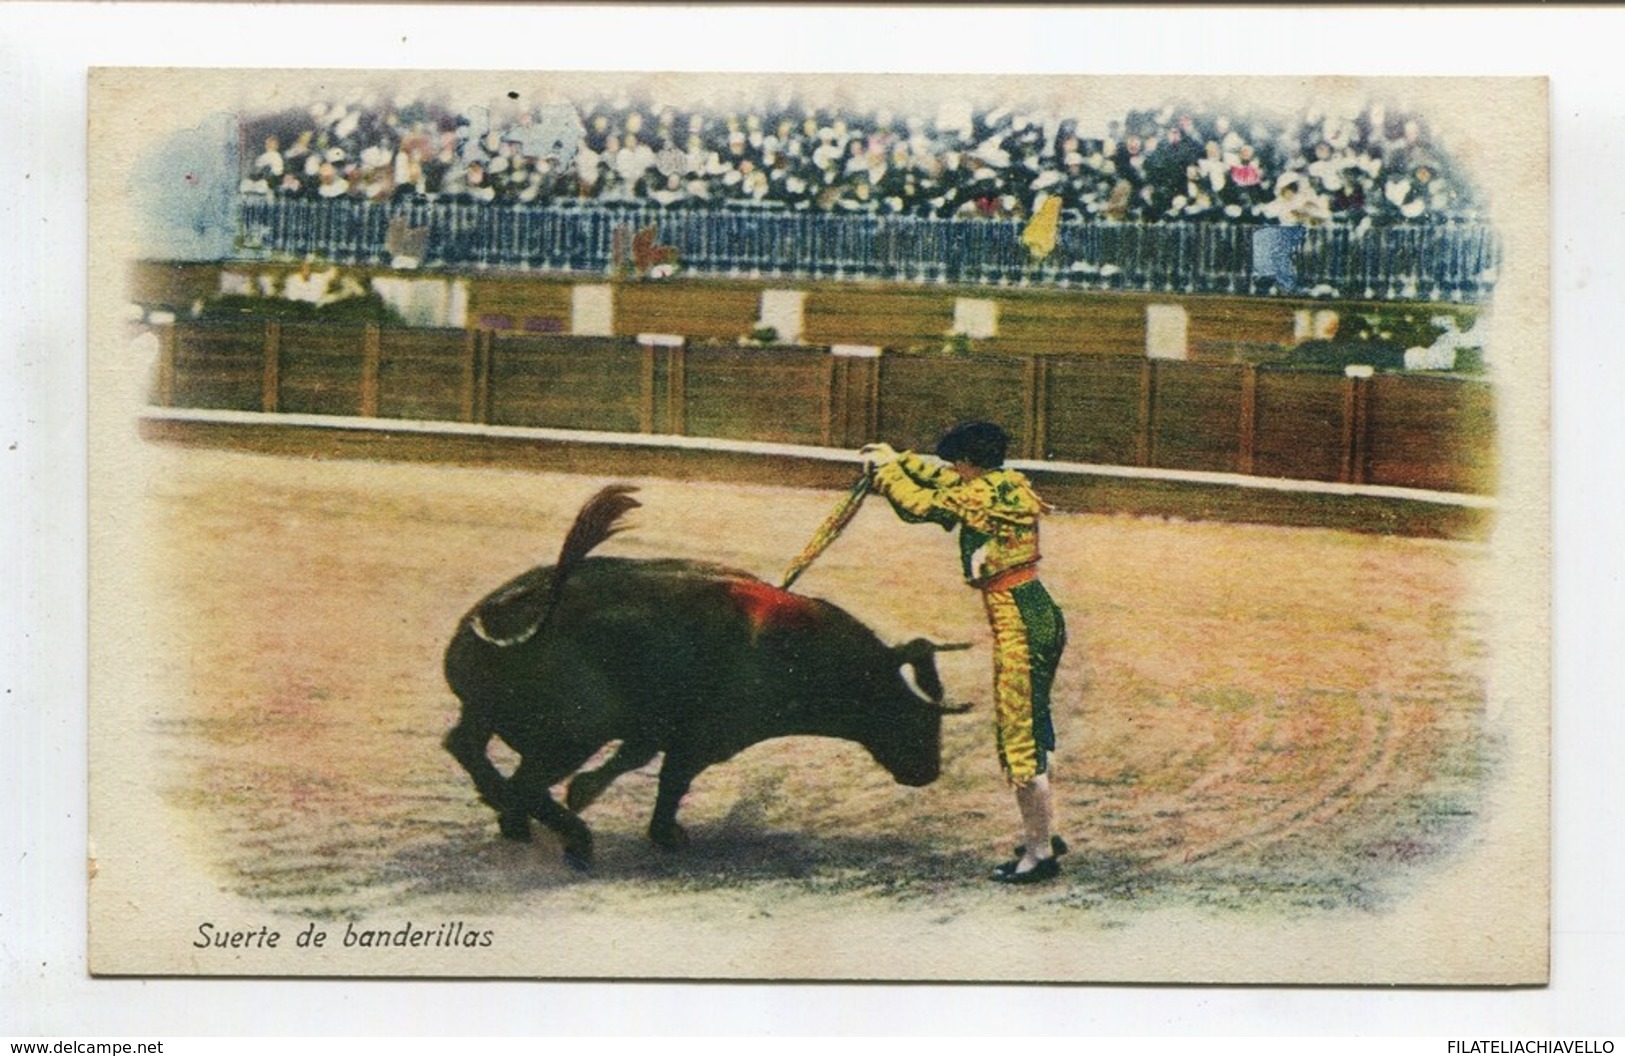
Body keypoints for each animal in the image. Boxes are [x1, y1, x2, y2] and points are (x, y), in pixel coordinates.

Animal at [445, 484, 968, 864]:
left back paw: (515, 821)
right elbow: (670, 780)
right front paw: (657, 830)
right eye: (912, 714)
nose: (928, 772)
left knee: (468, 748)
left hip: (492, 715)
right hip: (572, 734)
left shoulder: (661, 731)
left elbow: (644, 763)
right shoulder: (700, 739)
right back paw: (574, 838)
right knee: (525, 779)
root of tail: (511, 607)